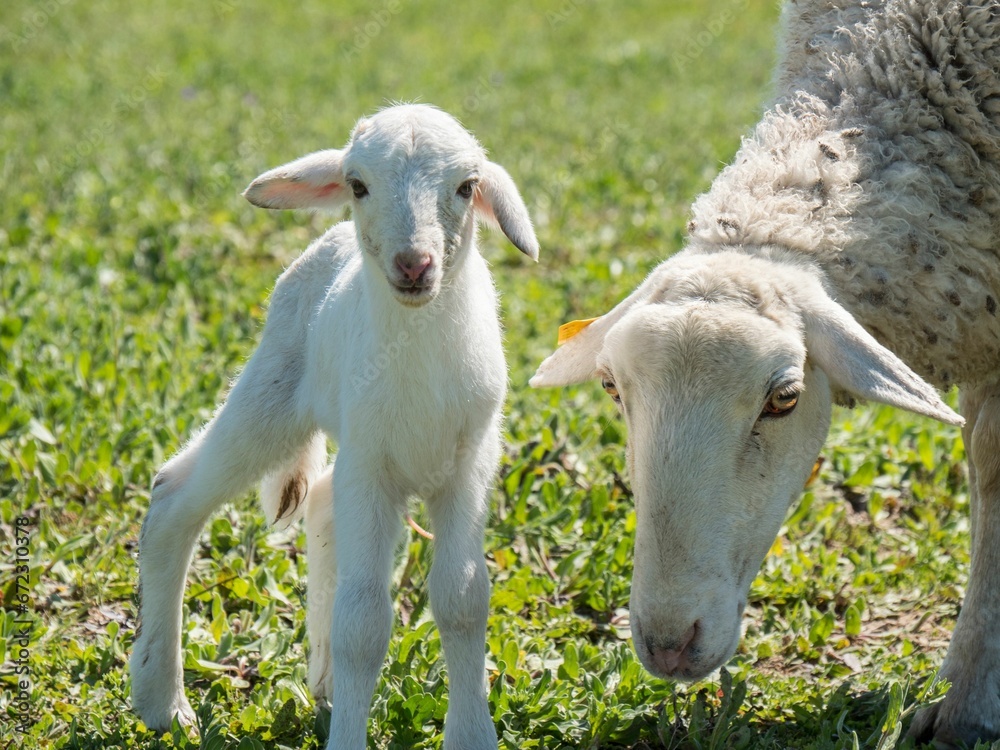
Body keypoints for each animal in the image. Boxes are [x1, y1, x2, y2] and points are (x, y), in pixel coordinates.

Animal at [129, 103, 539, 750]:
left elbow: (463, 599)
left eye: (467, 187)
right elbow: (364, 623)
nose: (414, 264)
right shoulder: (370, 467)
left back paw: (321, 684)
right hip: (274, 392)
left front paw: (471, 733)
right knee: (174, 496)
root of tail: (334, 238)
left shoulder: (468, 466)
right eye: (358, 185)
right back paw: (162, 701)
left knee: (320, 502)